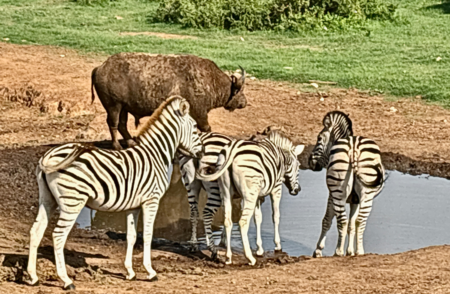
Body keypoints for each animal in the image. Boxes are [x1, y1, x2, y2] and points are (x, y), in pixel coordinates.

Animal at [27, 96, 203, 290]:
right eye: (195, 127)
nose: (202, 153)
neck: (155, 155)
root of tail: (49, 155)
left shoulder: (133, 205)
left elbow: (131, 236)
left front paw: (130, 273)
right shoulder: (151, 200)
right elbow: (148, 235)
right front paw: (150, 272)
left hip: (47, 199)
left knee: (36, 231)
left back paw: (33, 277)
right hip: (72, 200)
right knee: (58, 236)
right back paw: (66, 281)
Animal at [91, 52, 246, 149]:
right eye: (240, 90)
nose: (244, 102)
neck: (210, 80)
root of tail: (100, 68)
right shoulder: (200, 112)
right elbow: (206, 128)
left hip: (123, 108)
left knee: (122, 125)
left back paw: (131, 143)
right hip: (114, 106)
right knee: (113, 124)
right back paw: (116, 145)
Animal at [196, 130, 304, 266]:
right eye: (299, 166)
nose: (298, 190)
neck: (281, 156)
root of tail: (233, 150)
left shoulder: (258, 196)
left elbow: (258, 218)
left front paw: (259, 249)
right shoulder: (276, 188)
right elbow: (275, 216)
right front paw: (277, 245)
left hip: (225, 191)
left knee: (227, 221)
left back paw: (228, 257)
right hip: (247, 193)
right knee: (242, 222)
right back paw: (250, 258)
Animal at [310, 110, 386, 258]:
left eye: (319, 138)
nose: (310, 162)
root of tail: (354, 147)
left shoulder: (331, 196)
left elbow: (327, 221)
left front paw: (318, 250)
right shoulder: (355, 200)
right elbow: (352, 224)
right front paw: (350, 251)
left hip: (338, 190)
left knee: (342, 221)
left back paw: (338, 251)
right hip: (367, 193)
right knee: (360, 221)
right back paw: (359, 251)